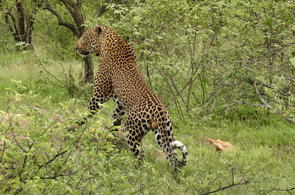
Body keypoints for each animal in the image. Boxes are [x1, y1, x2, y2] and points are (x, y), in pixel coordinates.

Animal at [75, 24, 188, 169]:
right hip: (162, 133)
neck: (107, 44)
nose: (76, 47)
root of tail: (161, 111)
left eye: (84, 37)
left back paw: (133, 169)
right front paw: (109, 140)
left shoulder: (99, 94)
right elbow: (115, 122)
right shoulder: (120, 105)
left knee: (141, 157)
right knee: (171, 156)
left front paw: (73, 126)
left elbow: (87, 113)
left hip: (132, 131)